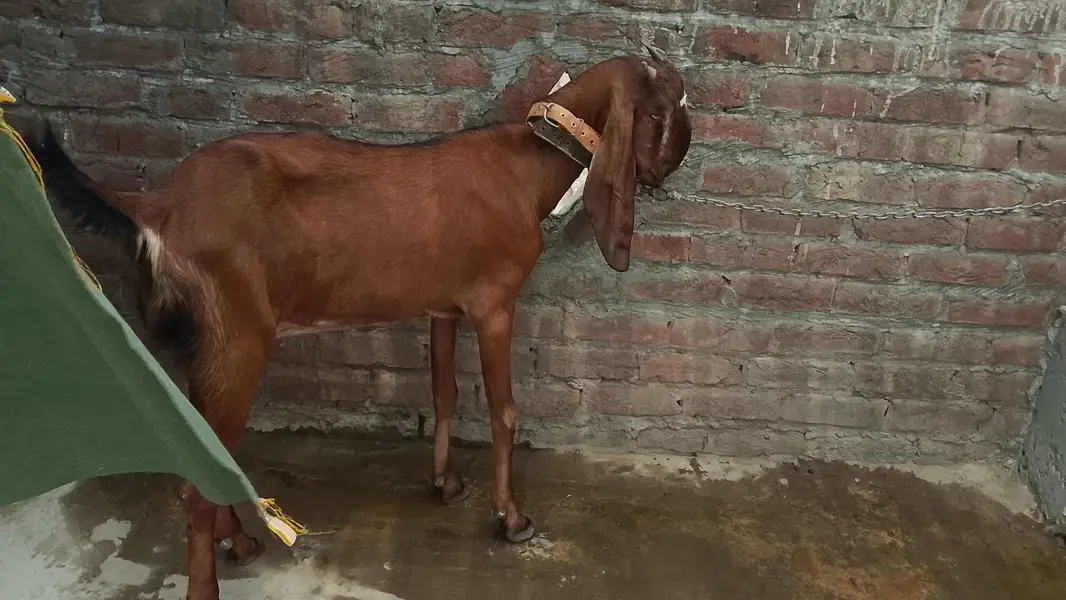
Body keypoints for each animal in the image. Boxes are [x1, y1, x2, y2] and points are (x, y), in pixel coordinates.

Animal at [31, 46, 692, 600]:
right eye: (667, 104)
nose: (677, 160)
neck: (526, 168)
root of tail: (157, 207)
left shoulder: (444, 306)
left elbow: (444, 392)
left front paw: (445, 484)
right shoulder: (495, 303)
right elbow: (503, 412)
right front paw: (512, 518)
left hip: (204, 348)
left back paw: (239, 541)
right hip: (237, 339)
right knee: (194, 481)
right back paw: (212, 579)